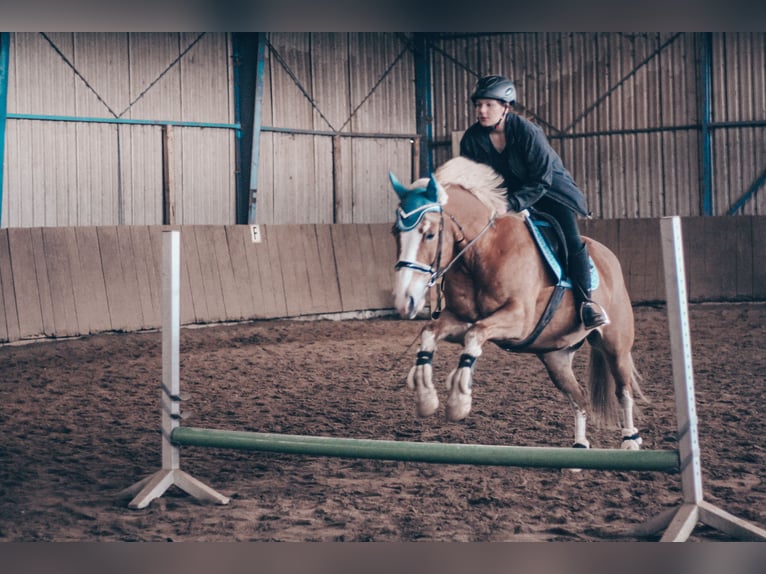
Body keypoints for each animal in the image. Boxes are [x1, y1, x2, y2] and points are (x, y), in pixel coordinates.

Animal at [390, 156, 648, 450]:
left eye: (430, 234)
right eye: (395, 232)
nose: (404, 300)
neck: (482, 252)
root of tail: (609, 258)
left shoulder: (518, 319)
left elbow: (475, 334)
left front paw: (458, 401)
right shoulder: (460, 318)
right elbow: (431, 333)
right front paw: (426, 398)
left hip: (615, 344)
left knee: (623, 389)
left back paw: (630, 440)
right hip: (556, 356)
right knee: (579, 397)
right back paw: (580, 447)